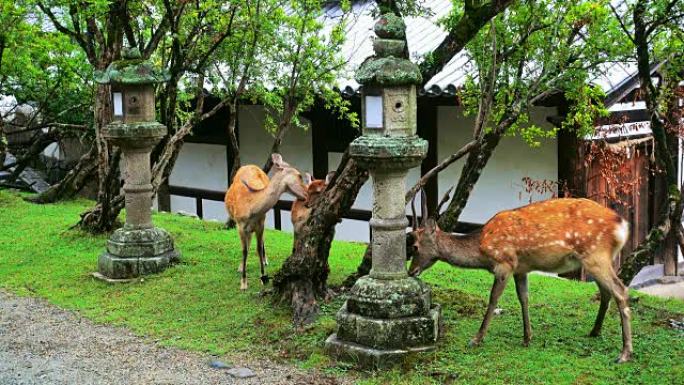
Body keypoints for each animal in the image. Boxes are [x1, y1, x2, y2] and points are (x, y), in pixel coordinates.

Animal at [224, 152, 308, 288]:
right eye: (299, 176)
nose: (307, 194)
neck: (252, 207)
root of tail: (250, 165)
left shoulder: (260, 224)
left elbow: (258, 248)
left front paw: (263, 277)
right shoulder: (240, 224)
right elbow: (244, 250)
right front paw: (243, 283)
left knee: (258, 240)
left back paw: (264, 261)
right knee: (247, 243)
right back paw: (241, 267)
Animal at [408, 194, 632, 362]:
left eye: (415, 246)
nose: (411, 271)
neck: (482, 249)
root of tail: (622, 225)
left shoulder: (505, 263)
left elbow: (493, 299)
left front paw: (476, 339)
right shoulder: (521, 269)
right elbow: (523, 298)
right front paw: (527, 338)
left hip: (595, 255)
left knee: (620, 290)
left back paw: (624, 353)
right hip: (596, 260)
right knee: (606, 291)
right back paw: (595, 331)